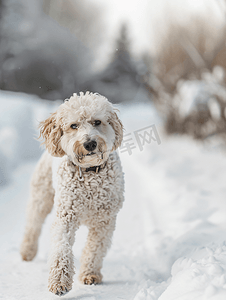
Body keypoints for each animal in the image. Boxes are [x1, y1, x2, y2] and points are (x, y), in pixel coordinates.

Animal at [20, 91, 124, 296]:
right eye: (73, 125)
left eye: (97, 122)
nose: (89, 143)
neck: (90, 174)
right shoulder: (66, 217)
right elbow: (61, 249)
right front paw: (59, 282)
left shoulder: (104, 221)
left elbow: (94, 249)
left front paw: (90, 274)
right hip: (41, 197)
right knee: (33, 224)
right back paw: (27, 251)